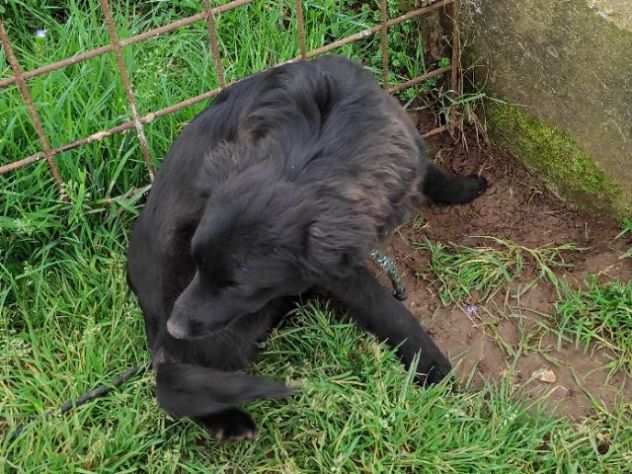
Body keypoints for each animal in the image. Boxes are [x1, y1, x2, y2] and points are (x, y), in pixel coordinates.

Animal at [124, 54, 488, 440]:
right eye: (197, 264)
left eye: (237, 285)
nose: (176, 325)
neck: (315, 144)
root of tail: (156, 336)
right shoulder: (340, 273)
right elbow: (390, 311)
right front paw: (433, 367)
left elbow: (429, 171)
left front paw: (462, 187)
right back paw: (230, 421)